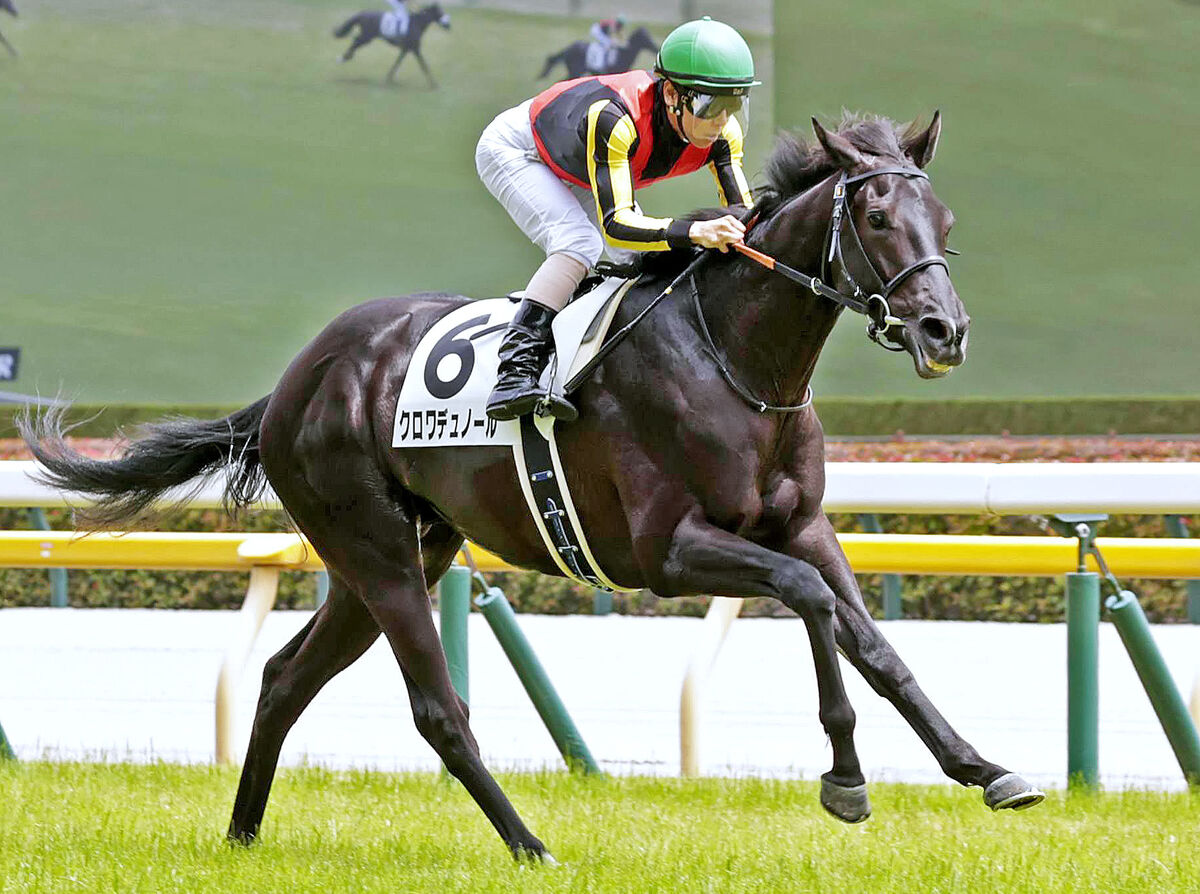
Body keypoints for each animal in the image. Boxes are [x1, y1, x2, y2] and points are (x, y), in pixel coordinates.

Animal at [22, 112, 1045, 863]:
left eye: (945, 226)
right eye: (875, 221)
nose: (945, 331)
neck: (736, 362)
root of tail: (296, 380)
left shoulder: (804, 526)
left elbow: (876, 645)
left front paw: (984, 767)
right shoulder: (669, 553)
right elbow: (812, 606)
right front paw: (845, 780)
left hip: (402, 551)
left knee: (282, 678)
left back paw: (241, 835)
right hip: (375, 549)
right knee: (438, 710)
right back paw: (531, 847)